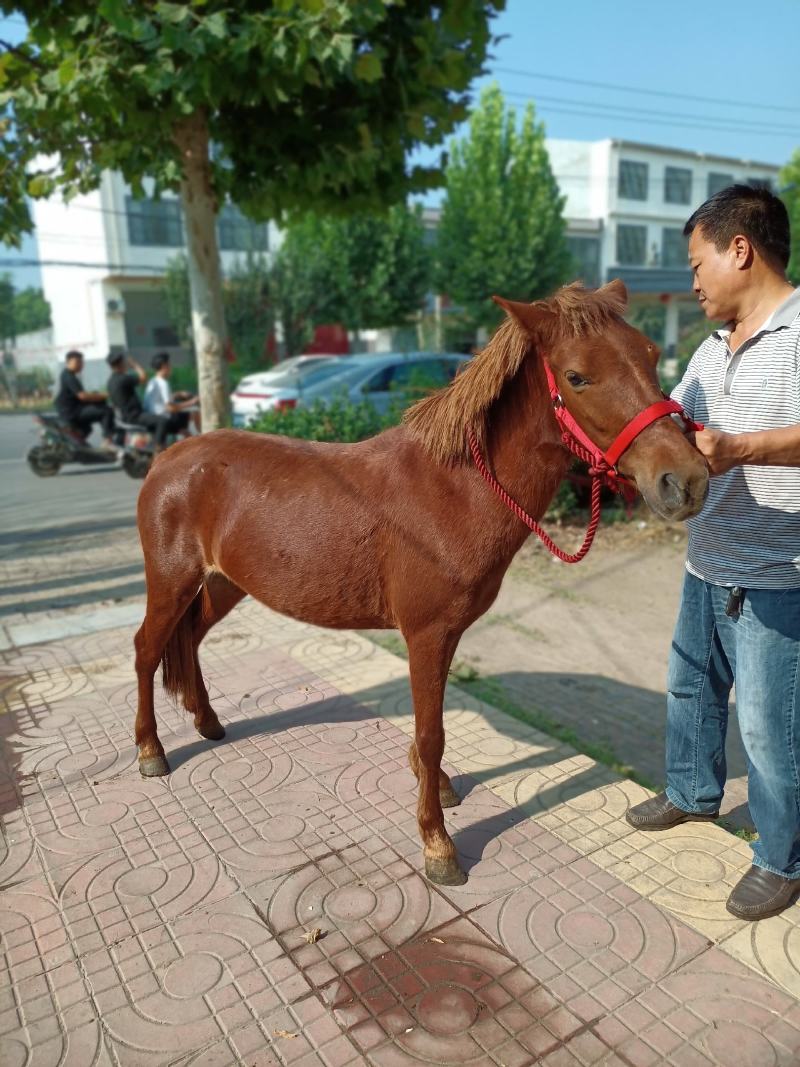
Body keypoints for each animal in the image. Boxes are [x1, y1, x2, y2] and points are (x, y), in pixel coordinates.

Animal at [133, 280, 708, 886]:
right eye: (577, 377)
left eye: (650, 355)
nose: (685, 480)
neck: (453, 490)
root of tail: (168, 458)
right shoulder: (426, 634)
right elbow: (432, 735)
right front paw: (437, 843)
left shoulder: (447, 633)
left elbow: (429, 730)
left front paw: (438, 789)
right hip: (172, 581)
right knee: (148, 649)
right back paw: (150, 751)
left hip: (223, 583)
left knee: (191, 639)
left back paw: (207, 721)